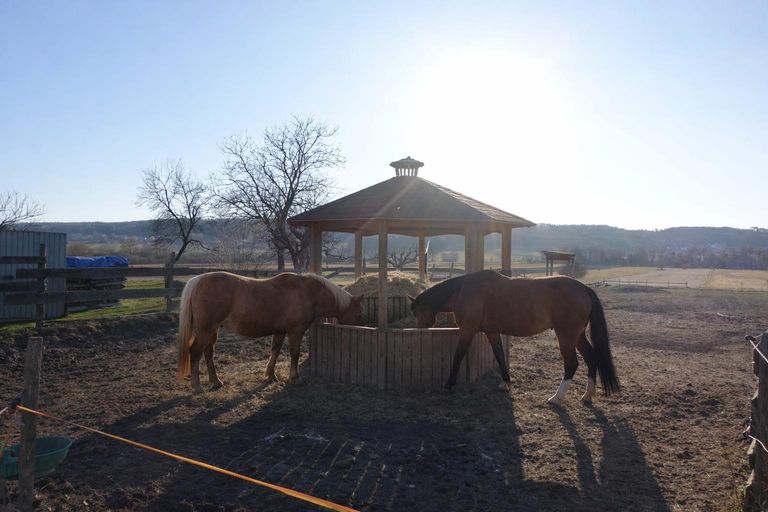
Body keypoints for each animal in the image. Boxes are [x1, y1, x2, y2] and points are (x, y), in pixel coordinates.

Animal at [177, 271, 364, 393]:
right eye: (359, 313)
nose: (361, 327)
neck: (308, 292)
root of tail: (198, 280)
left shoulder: (280, 331)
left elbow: (275, 351)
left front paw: (270, 375)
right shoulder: (296, 331)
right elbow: (294, 354)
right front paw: (295, 378)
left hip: (212, 330)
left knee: (208, 353)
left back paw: (215, 381)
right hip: (206, 330)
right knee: (195, 352)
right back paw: (197, 386)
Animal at [408, 270, 619, 406]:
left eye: (416, 312)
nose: (419, 329)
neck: (463, 290)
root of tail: (583, 288)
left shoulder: (467, 330)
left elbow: (458, 357)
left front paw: (449, 385)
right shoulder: (491, 332)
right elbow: (500, 356)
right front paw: (505, 383)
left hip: (566, 336)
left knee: (572, 364)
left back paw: (556, 398)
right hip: (578, 336)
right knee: (591, 358)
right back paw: (587, 396)